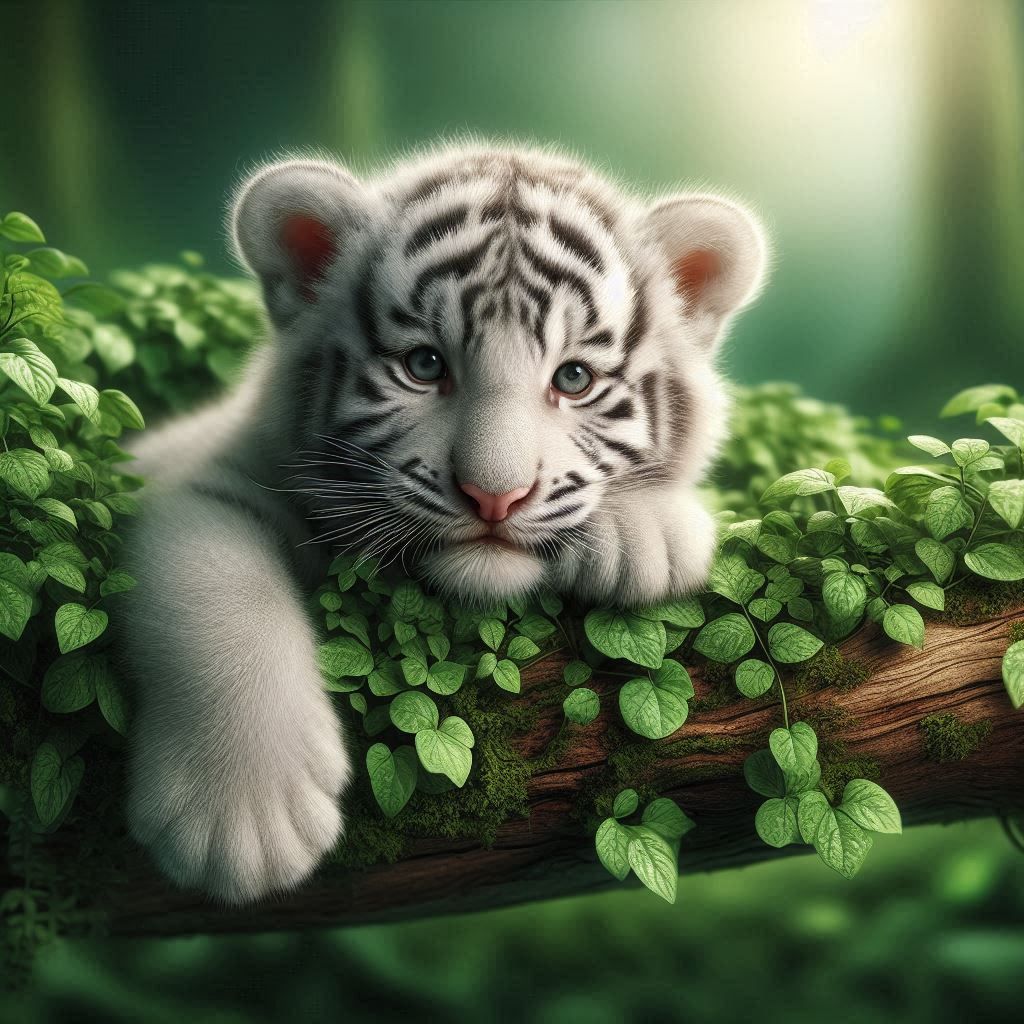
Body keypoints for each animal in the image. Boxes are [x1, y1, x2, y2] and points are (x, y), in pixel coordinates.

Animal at [122, 141, 769, 904]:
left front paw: (645, 534)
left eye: (574, 379)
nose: (495, 495)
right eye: (424, 365)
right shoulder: (195, 476)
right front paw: (243, 814)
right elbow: (219, 586)